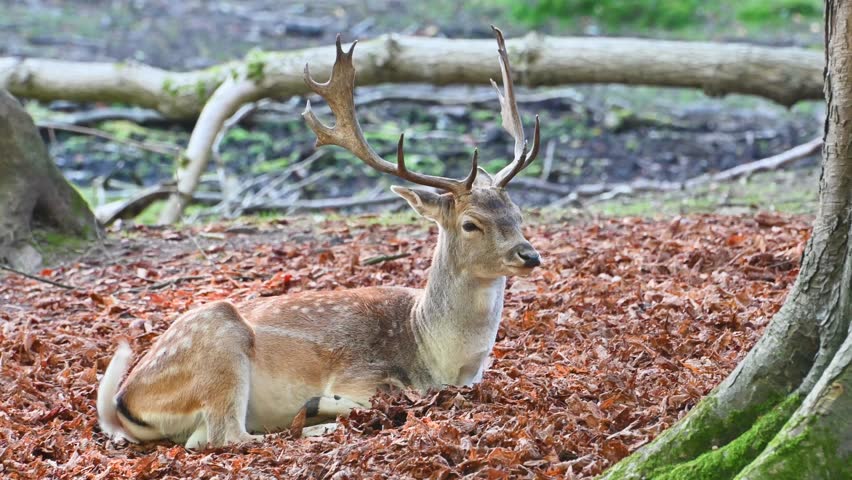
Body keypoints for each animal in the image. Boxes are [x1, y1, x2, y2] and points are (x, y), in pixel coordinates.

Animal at [97, 26, 542, 448]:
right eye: (470, 223)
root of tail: (122, 403)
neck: (439, 356)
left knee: (203, 437)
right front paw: (322, 406)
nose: (529, 255)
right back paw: (311, 421)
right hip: (221, 345)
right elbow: (380, 395)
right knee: (225, 436)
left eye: (518, 213)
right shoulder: (358, 372)